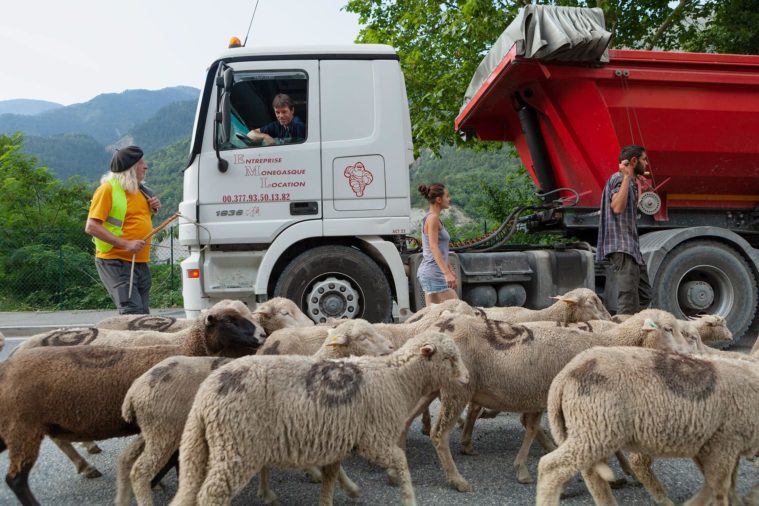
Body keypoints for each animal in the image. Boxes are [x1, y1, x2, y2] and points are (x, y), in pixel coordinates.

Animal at [0, 302, 268, 504]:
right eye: (230, 320)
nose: (262, 335)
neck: (186, 348)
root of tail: (11, 358)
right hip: (24, 426)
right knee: (18, 477)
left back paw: (87, 463)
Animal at [116, 320, 394, 506]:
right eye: (364, 337)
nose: (390, 348)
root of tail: (134, 391)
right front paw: (348, 487)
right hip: (164, 431)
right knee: (141, 470)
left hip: (155, 430)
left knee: (128, 458)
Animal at [169, 332, 472, 506]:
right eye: (449, 358)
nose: (468, 378)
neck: (397, 378)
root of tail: (206, 394)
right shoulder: (373, 440)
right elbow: (401, 462)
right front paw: (409, 499)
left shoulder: (336, 441)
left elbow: (330, 480)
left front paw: (340, 493)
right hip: (237, 447)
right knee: (211, 495)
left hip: (202, 445)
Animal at [536, 346, 759, 506]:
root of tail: (564, 376)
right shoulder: (726, 441)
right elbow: (720, 486)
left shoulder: (710, 443)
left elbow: (720, 483)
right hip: (596, 427)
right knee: (551, 468)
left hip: (593, 430)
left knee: (591, 472)